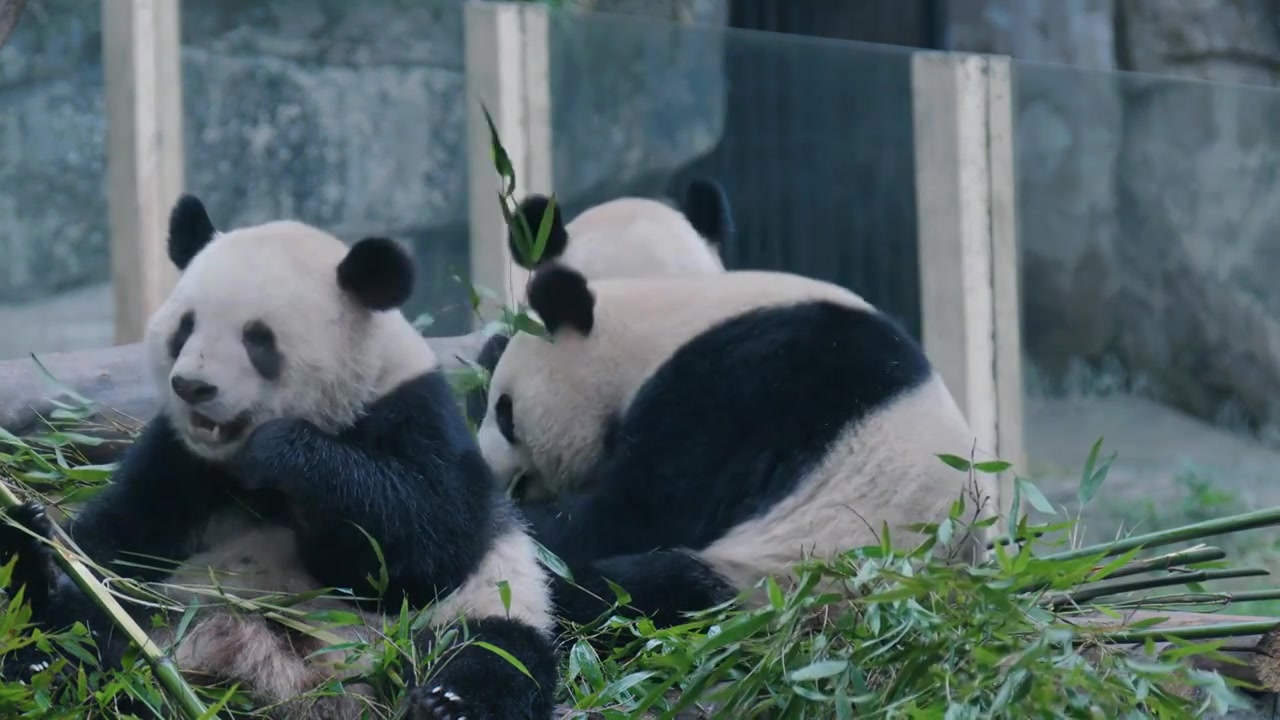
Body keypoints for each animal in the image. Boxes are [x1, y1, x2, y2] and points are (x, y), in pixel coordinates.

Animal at [1, 194, 560, 717]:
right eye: (185, 327)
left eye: (257, 339)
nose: (192, 386)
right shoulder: (176, 458)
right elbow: (117, 542)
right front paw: (39, 555)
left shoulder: (417, 415)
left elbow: (423, 548)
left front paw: (283, 451)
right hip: (161, 619)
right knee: (90, 635)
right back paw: (35, 612)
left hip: (466, 615)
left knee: (492, 654)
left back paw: (446, 702)